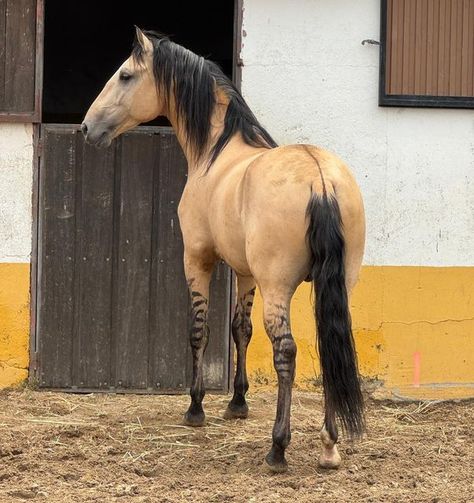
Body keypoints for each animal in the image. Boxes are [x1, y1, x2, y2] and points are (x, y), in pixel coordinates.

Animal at [81, 28, 364, 472]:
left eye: (126, 75)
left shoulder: (198, 259)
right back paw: (329, 446)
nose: (87, 127)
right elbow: (239, 330)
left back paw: (277, 448)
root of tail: (320, 180)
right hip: (338, 284)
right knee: (330, 347)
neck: (217, 152)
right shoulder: (244, 272)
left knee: (286, 352)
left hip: (278, 287)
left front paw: (196, 408)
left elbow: (200, 329)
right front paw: (237, 403)